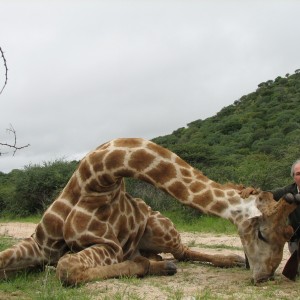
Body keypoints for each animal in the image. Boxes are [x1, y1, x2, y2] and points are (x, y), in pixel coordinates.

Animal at [0, 138, 298, 286]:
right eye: (263, 234)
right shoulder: (41, 244)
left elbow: (66, 268)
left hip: (162, 229)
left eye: (289, 233)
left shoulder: (108, 246)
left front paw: (142, 266)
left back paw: (227, 260)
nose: (265, 277)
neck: (94, 180)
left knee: (182, 252)